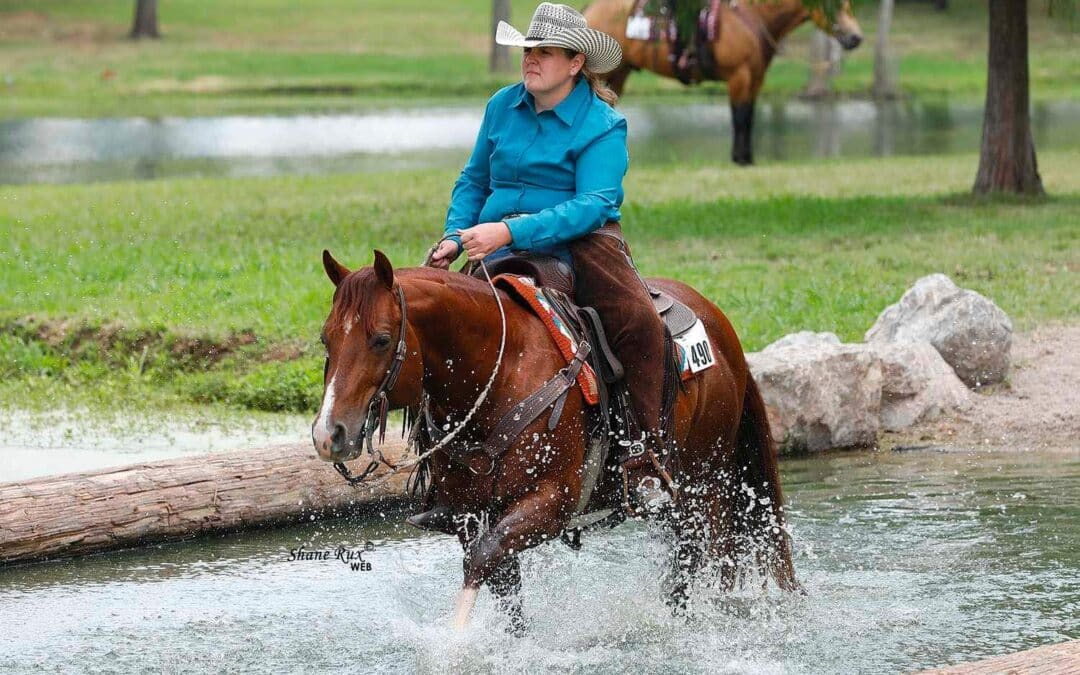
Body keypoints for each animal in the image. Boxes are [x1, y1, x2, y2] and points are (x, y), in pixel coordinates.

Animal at [311, 250, 794, 630]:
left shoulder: (551, 502)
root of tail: (722, 327)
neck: (503, 369)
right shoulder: (469, 514)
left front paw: (454, 641)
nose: (328, 434)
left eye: (381, 339)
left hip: (705, 484)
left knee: (701, 558)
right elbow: (502, 582)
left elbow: (482, 560)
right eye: (325, 338)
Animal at [583, 0, 859, 164]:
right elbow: (739, 117)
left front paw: (748, 158)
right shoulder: (739, 75)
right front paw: (739, 159)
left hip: (619, 75)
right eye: (837, 6)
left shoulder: (756, 78)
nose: (856, 37)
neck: (753, 17)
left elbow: (749, 117)